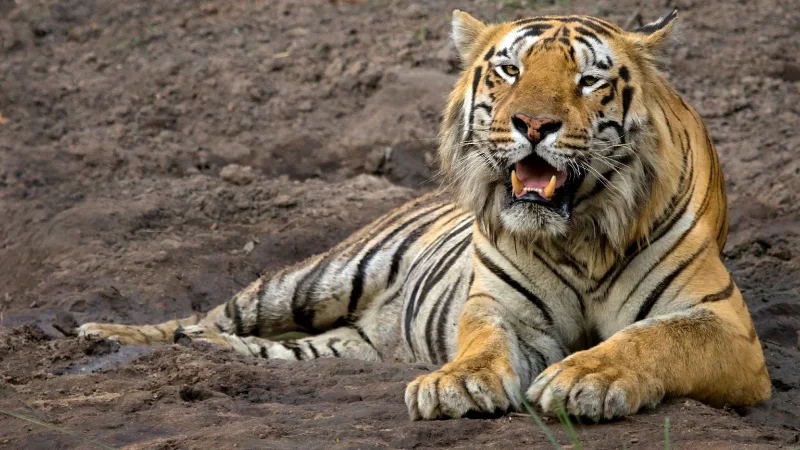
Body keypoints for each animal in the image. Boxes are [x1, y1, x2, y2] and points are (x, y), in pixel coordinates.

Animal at [78, 10, 772, 422]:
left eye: (588, 81)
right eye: (510, 69)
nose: (533, 124)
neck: (579, 234)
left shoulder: (724, 324)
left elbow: (654, 337)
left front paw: (587, 378)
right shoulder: (499, 307)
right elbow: (480, 344)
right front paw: (455, 386)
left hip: (338, 343)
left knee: (271, 348)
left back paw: (208, 350)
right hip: (314, 279)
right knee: (211, 314)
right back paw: (109, 335)